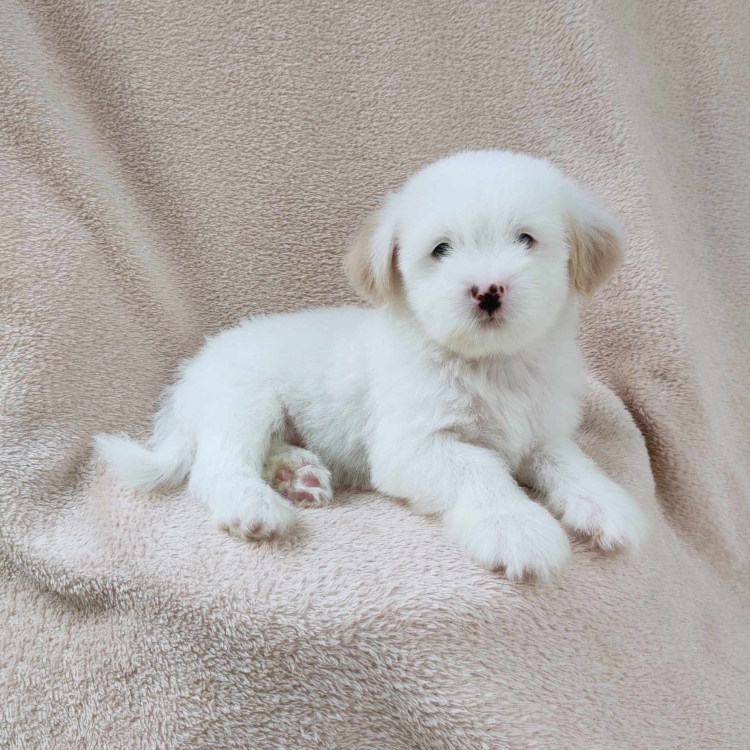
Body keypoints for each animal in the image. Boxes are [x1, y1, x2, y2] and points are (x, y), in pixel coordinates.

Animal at [96, 150, 647, 580]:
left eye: (526, 239)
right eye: (441, 250)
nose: (487, 290)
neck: (489, 365)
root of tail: (188, 376)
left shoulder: (540, 433)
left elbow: (570, 463)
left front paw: (606, 503)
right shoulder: (413, 445)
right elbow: (481, 471)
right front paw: (516, 528)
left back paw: (298, 476)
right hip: (242, 404)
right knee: (215, 468)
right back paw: (252, 505)